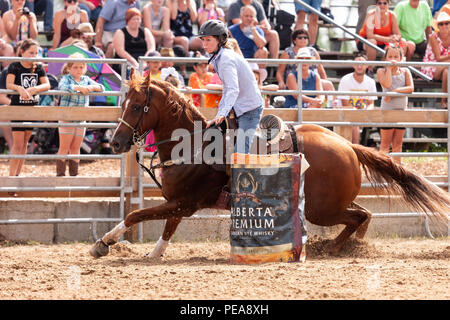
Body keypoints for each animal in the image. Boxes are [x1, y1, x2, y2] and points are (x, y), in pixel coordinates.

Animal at [89, 70, 448, 260]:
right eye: (124, 103)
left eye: (137, 106)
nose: (116, 143)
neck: (192, 144)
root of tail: (348, 145)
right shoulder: (178, 204)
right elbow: (166, 228)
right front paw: (154, 254)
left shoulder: (184, 203)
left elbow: (135, 215)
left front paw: (103, 243)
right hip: (331, 202)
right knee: (364, 215)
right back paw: (348, 247)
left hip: (322, 208)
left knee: (359, 216)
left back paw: (331, 248)